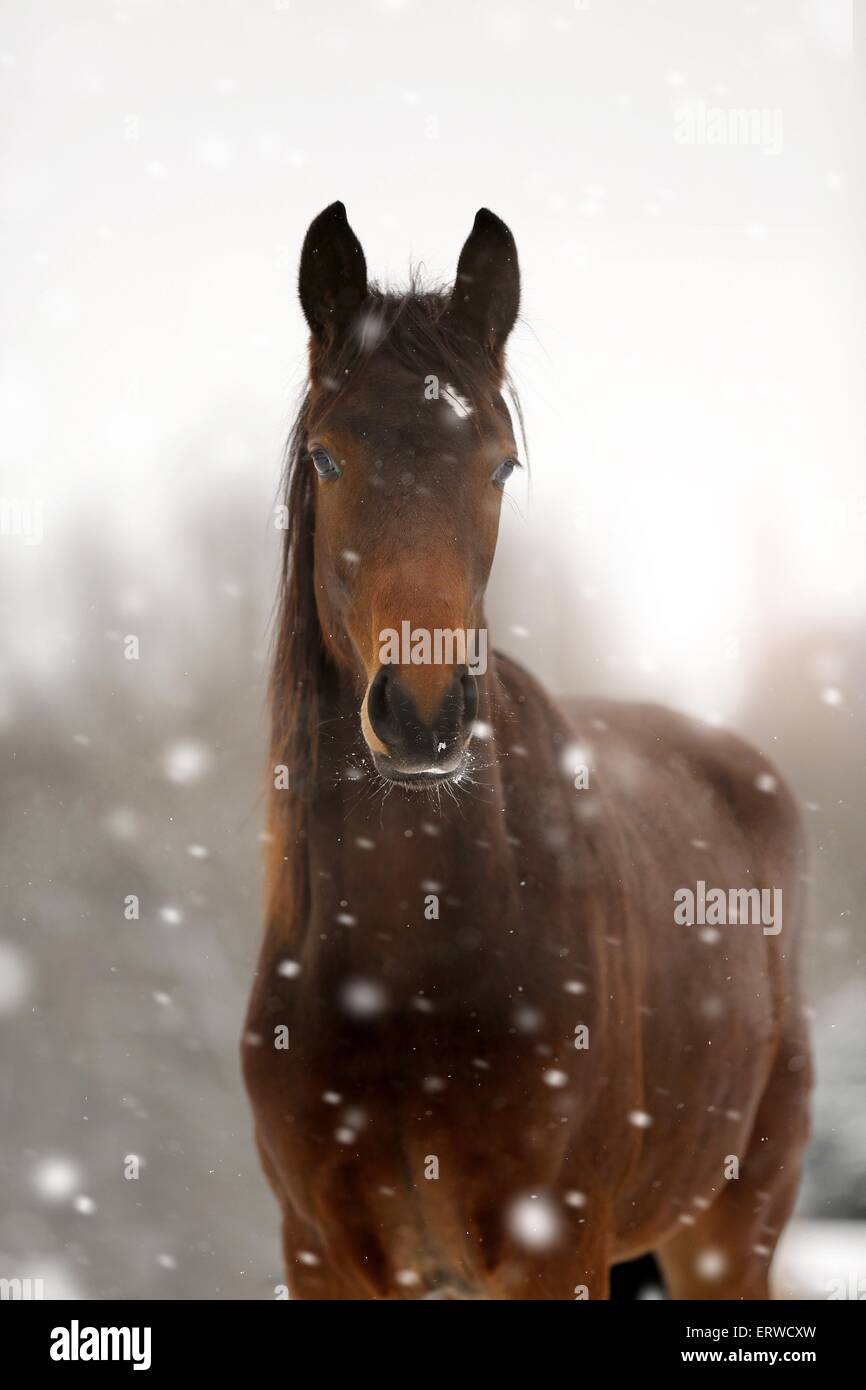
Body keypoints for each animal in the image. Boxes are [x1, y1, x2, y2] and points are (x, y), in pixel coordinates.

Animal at [244, 201, 811, 1295]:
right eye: (328, 457)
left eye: (499, 462)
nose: (422, 714)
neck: (407, 968)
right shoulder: (319, 1254)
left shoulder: (557, 1247)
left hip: (730, 1227)